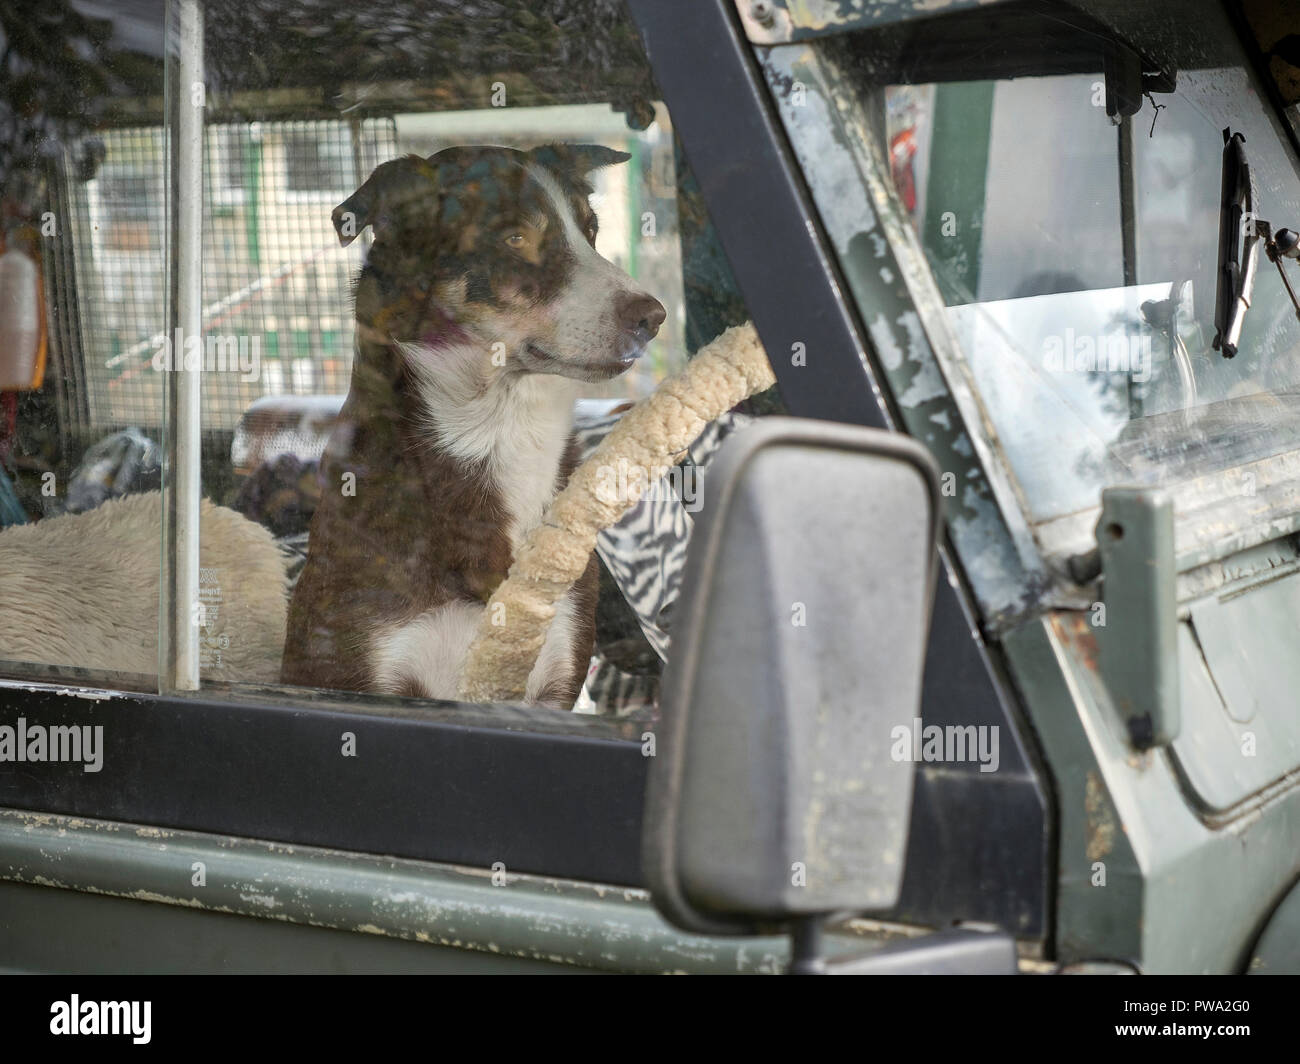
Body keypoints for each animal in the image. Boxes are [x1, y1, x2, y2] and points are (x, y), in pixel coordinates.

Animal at [286, 141, 670, 702]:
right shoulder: (360, 671)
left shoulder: (556, 673)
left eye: (592, 231)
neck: (497, 425)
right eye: (515, 238)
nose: (653, 317)